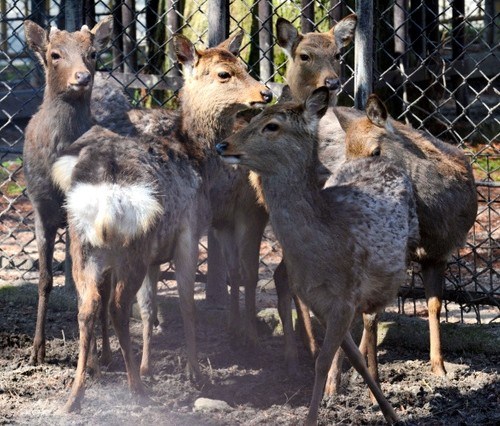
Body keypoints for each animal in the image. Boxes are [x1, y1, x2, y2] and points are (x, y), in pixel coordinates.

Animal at [22, 17, 112, 366]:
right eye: (55, 54)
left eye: (93, 53)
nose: (82, 77)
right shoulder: (39, 208)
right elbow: (45, 279)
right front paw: (37, 351)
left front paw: (94, 355)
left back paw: (106, 353)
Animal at [51, 31, 272, 412]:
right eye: (224, 73)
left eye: (244, 64)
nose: (266, 93)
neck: (198, 159)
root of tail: (104, 197)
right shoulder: (188, 233)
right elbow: (185, 304)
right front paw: (194, 373)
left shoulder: (157, 255)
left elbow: (149, 307)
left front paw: (148, 366)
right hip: (133, 246)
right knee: (117, 307)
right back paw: (136, 390)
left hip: (84, 247)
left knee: (87, 307)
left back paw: (75, 396)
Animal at [219, 87, 418, 426]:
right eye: (253, 117)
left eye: (272, 125)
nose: (223, 144)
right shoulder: (317, 300)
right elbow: (348, 355)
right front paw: (387, 411)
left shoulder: (345, 297)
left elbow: (323, 361)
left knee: (379, 313)